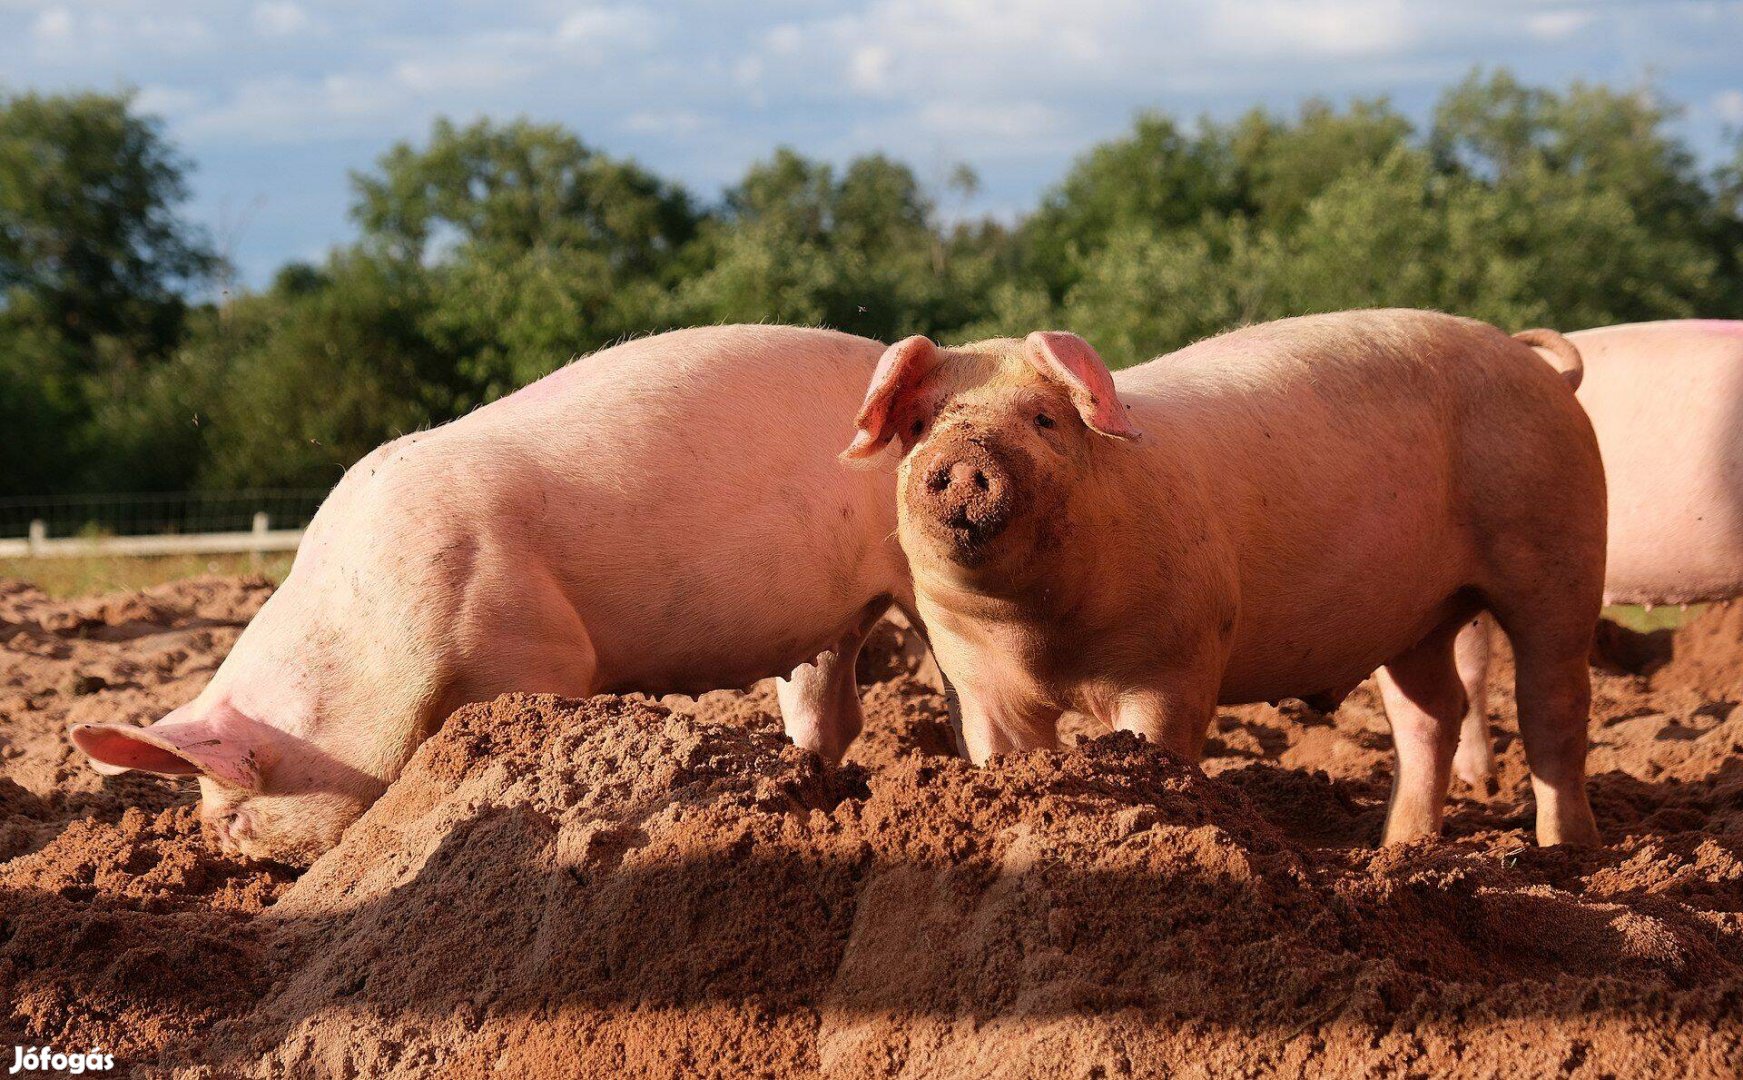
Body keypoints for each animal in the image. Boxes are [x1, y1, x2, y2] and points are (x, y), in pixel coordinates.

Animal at [71, 324, 913, 864]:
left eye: (239, 814)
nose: (214, 847)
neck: (365, 642)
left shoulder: (532, 649)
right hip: (831, 622)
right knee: (832, 708)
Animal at [847, 311, 1603, 853]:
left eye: (1043, 418)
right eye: (919, 424)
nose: (962, 456)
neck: (1038, 637)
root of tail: (1535, 365)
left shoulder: (1173, 660)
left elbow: (1156, 748)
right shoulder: (973, 678)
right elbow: (1002, 756)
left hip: (1558, 546)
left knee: (1552, 704)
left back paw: (1567, 853)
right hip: (1416, 615)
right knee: (1430, 712)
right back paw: (1398, 846)